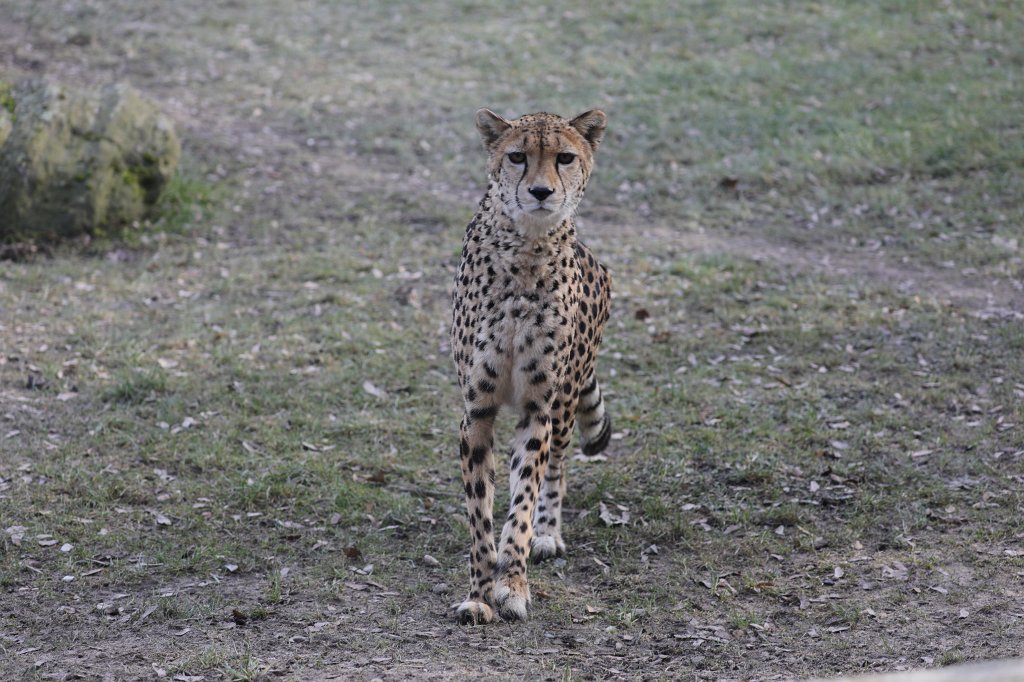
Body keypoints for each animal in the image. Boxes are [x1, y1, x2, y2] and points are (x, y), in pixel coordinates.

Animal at [450, 108, 613, 624]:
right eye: (517, 156)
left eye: (564, 158)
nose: (541, 192)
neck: (527, 250)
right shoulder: (477, 411)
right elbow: (480, 513)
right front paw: (480, 594)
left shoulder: (537, 407)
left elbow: (522, 499)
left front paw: (514, 584)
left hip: (563, 403)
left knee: (556, 463)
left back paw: (546, 534)